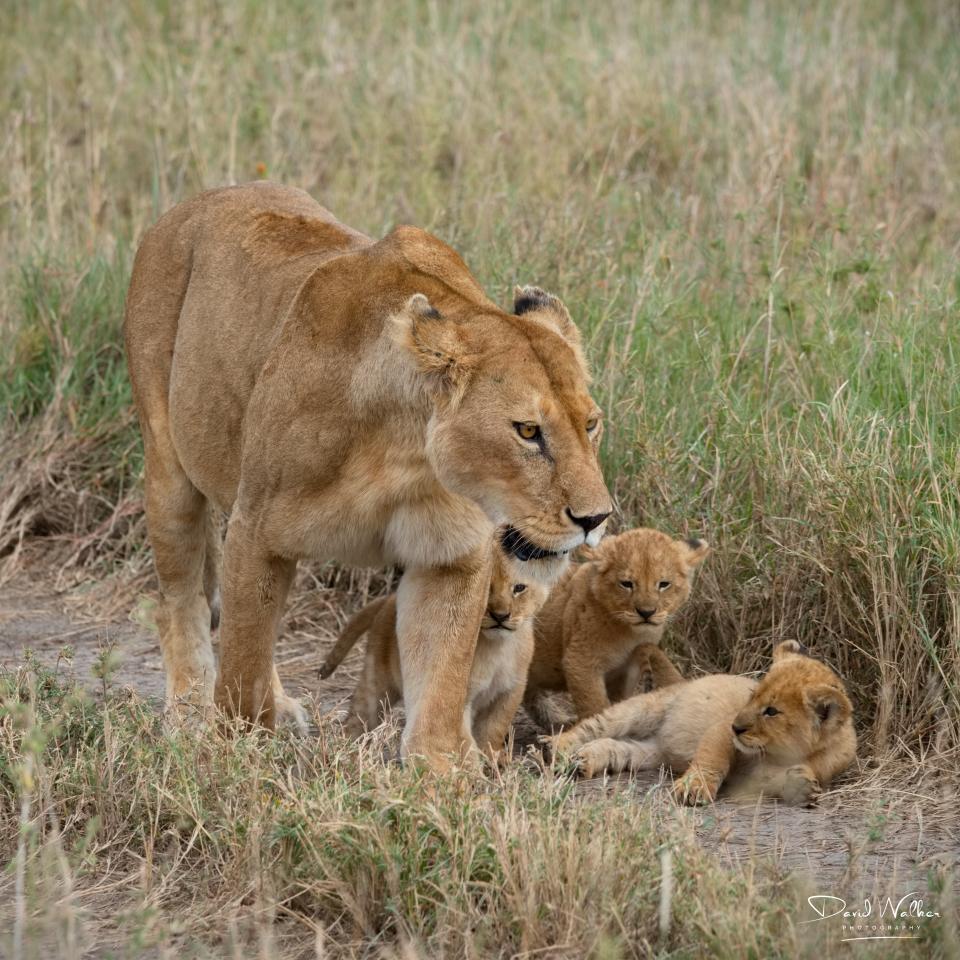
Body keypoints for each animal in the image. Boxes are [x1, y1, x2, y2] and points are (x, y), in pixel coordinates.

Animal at [320, 540, 549, 756]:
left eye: (519, 588)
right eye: (487, 588)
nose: (501, 616)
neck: (498, 647)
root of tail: (389, 599)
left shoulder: (509, 692)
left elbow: (493, 732)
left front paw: (492, 761)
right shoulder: (460, 695)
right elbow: (460, 735)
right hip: (376, 681)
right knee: (358, 715)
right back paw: (345, 748)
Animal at [523, 528, 709, 727]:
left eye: (664, 584)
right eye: (626, 584)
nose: (646, 613)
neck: (630, 633)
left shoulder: (626, 670)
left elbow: (619, 701)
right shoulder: (580, 662)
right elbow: (594, 705)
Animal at [548, 640, 857, 806]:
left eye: (771, 711)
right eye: (752, 696)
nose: (738, 727)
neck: (782, 753)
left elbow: (775, 782)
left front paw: (803, 787)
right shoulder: (721, 730)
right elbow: (712, 758)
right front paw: (693, 789)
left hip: (649, 753)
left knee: (614, 747)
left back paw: (583, 761)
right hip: (644, 708)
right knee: (594, 726)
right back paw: (554, 748)